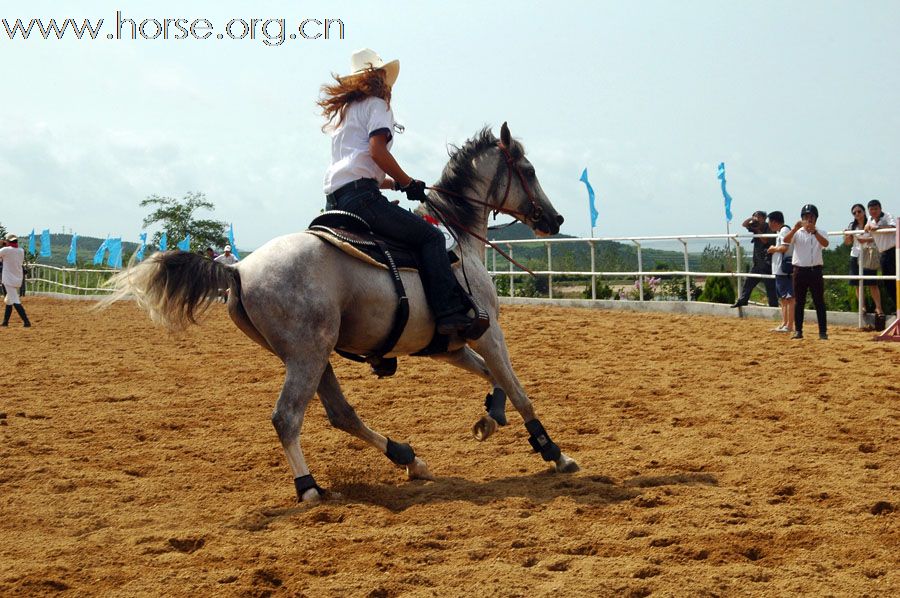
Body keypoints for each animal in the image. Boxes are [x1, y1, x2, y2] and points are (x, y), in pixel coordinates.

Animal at [105, 124, 580, 504]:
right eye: (529, 170)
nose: (555, 219)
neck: (457, 242)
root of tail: (238, 268)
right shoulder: (487, 330)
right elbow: (517, 389)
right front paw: (554, 453)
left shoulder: (449, 345)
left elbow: (492, 378)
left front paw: (489, 418)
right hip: (308, 354)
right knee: (287, 417)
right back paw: (310, 488)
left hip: (312, 355)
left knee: (341, 414)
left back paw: (409, 458)